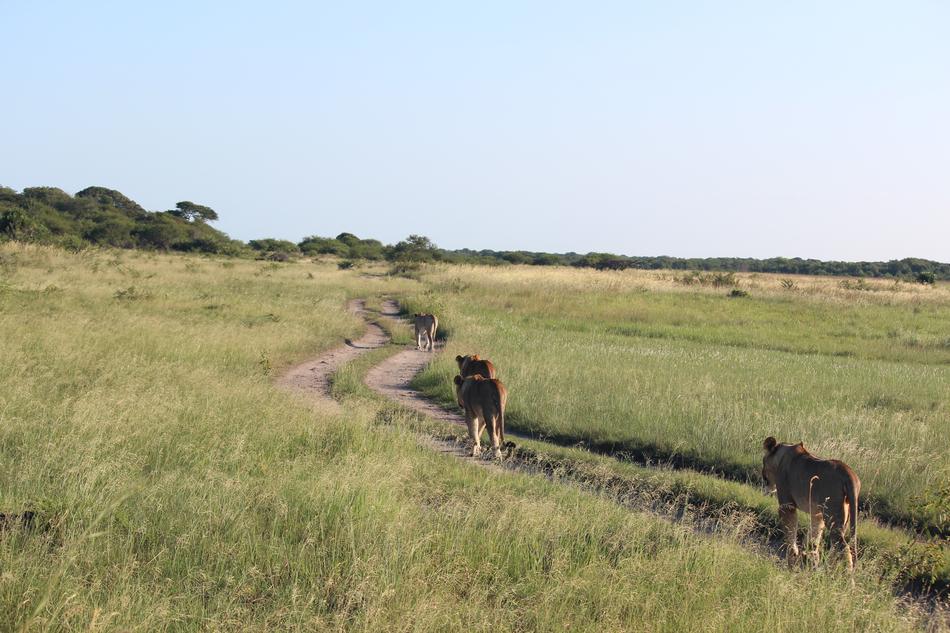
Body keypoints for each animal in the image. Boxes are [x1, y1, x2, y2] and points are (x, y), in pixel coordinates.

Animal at [761, 436, 860, 571]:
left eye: (763, 462)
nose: (762, 476)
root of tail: (848, 472)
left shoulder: (787, 505)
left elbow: (790, 533)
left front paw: (792, 557)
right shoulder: (817, 513)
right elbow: (814, 538)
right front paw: (808, 557)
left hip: (833, 516)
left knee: (843, 548)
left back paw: (842, 575)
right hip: (843, 514)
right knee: (836, 547)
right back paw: (827, 569)